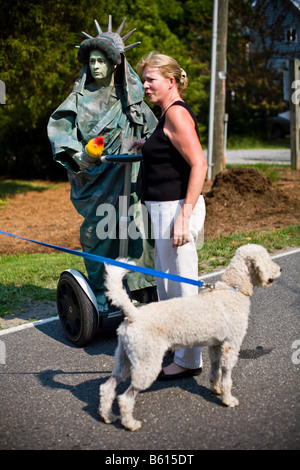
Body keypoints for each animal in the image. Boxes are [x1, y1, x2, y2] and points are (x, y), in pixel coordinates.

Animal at [99, 244, 280, 432]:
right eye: (267, 259)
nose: (280, 269)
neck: (233, 288)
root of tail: (134, 314)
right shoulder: (231, 344)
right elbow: (227, 375)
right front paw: (228, 399)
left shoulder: (216, 345)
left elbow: (215, 369)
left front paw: (215, 389)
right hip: (147, 364)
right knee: (125, 398)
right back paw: (130, 423)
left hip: (125, 359)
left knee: (107, 387)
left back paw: (108, 416)